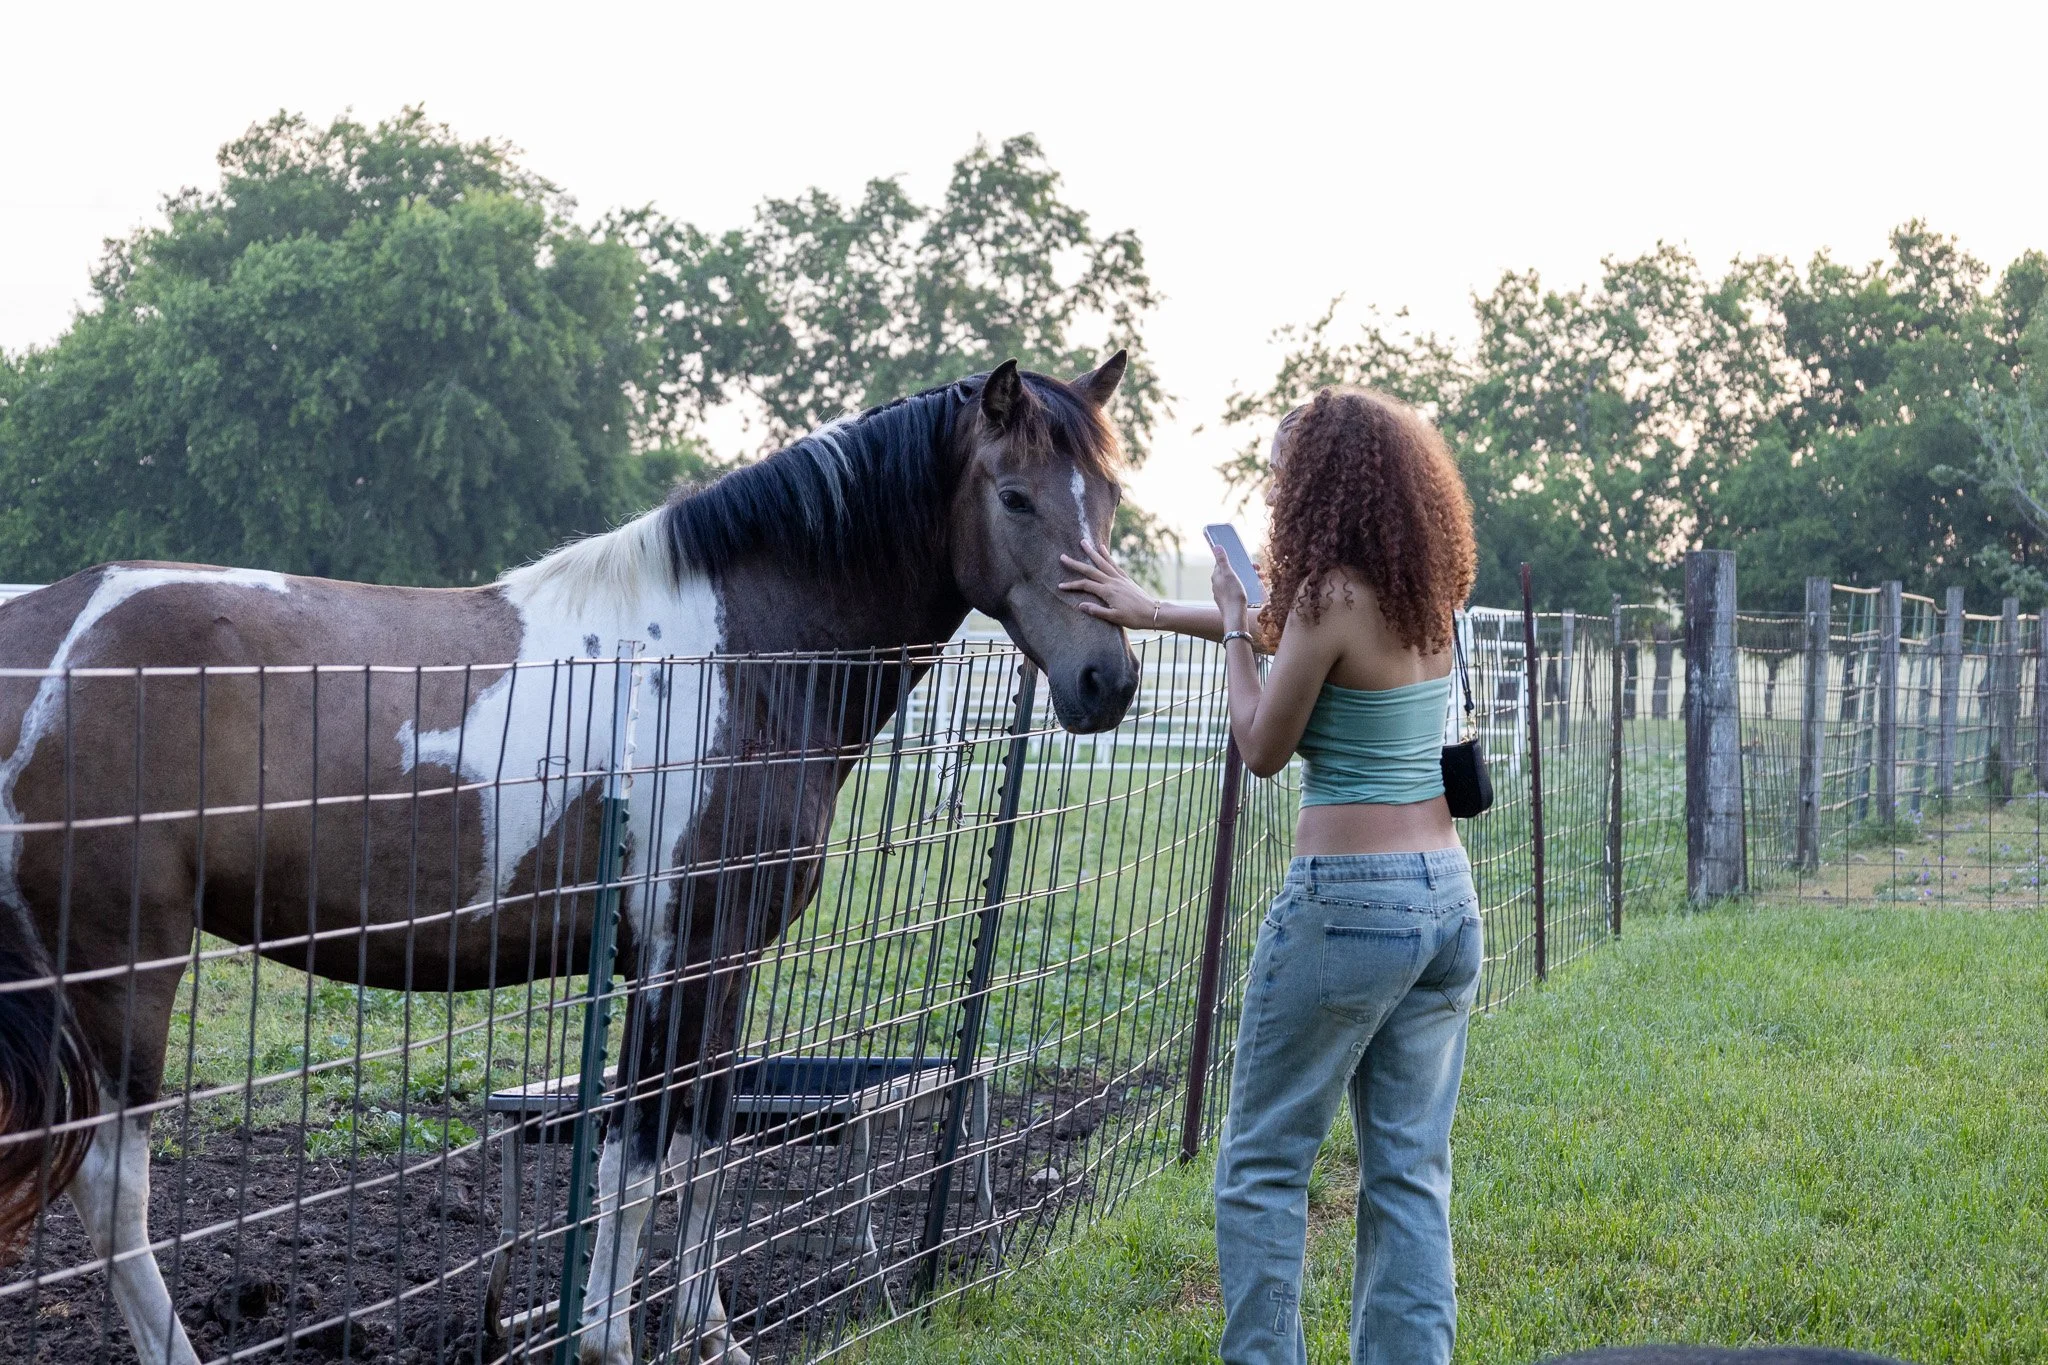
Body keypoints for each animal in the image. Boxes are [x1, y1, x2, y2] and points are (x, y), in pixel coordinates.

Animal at [0, 354, 1139, 1365]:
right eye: (1015, 496)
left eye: (1111, 497)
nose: (1109, 681)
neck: (736, 656)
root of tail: (46, 631)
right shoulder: (679, 956)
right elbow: (636, 1165)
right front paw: (608, 1342)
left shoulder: (725, 960)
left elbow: (705, 1150)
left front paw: (710, 1339)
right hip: (120, 969)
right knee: (113, 1195)